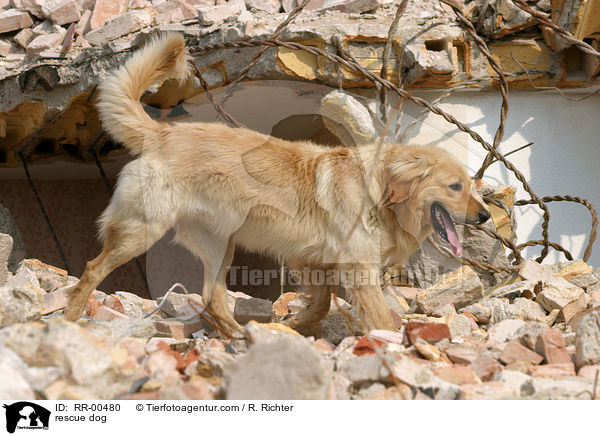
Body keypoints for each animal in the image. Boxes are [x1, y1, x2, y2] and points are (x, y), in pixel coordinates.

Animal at [63, 34, 490, 336]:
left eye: (473, 187)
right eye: (455, 187)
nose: (486, 216)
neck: (381, 195)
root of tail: (165, 133)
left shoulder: (314, 261)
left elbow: (320, 304)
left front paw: (293, 326)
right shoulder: (357, 266)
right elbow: (379, 317)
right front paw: (391, 343)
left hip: (221, 245)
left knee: (212, 297)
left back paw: (238, 336)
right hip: (143, 230)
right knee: (93, 268)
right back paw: (68, 319)